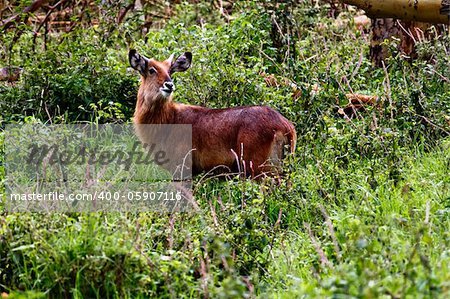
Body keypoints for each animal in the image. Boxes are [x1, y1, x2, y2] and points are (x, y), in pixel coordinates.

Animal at [128, 49, 298, 178]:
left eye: (170, 70)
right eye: (151, 70)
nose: (169, 84)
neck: (169, 119)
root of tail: (286, 126)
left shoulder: (181, 167)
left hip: (259, 168)